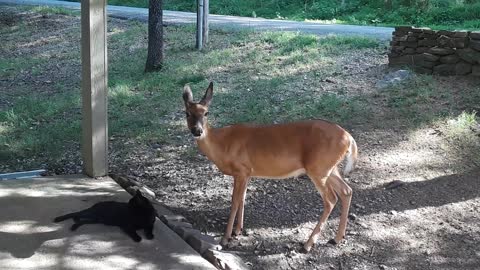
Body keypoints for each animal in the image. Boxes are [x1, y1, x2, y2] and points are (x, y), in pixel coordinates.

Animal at [183, 83, 356, 253]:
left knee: (331, 199)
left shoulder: (241, 169)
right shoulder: (248, 172)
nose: (197, 131)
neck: (223, 145)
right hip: (329, 168)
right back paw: (336, 238)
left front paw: (226, 238)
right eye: (187, 113)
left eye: (206, 113)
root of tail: (349, 138)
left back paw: (308, 244)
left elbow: (234, 201)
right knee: (346, 191)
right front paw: (238, 230)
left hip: (319, 168)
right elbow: (242, 198)